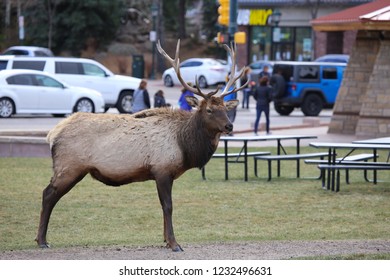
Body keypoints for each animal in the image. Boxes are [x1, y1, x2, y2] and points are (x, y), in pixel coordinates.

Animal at [35, 39, 247, 252]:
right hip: (69, 167)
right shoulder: (162, 170)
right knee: (48, 194)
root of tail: (52, 134)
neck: (185, 146)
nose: (229, 125)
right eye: (209, 110)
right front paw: (174, 243)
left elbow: (164, 206)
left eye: (225, 108)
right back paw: (42, 240)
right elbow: (168, 206)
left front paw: (165, 240)